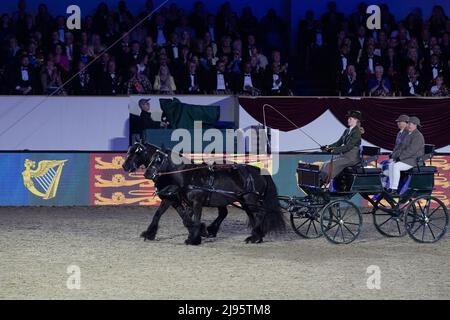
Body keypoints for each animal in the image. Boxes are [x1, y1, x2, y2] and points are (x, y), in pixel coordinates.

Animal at [144, 148, 284, 245]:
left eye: (158, 159)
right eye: (151, 158)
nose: (147, 174)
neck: (189, 177)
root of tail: (258, 171)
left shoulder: (196, 202)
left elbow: (195, 219)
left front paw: (194, 239)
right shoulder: (181, 201)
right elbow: (185, 218)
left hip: (250, 199)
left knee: (259, 214)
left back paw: (254, 237)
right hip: (244, 201)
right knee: (251, 216)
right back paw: (256, 237)